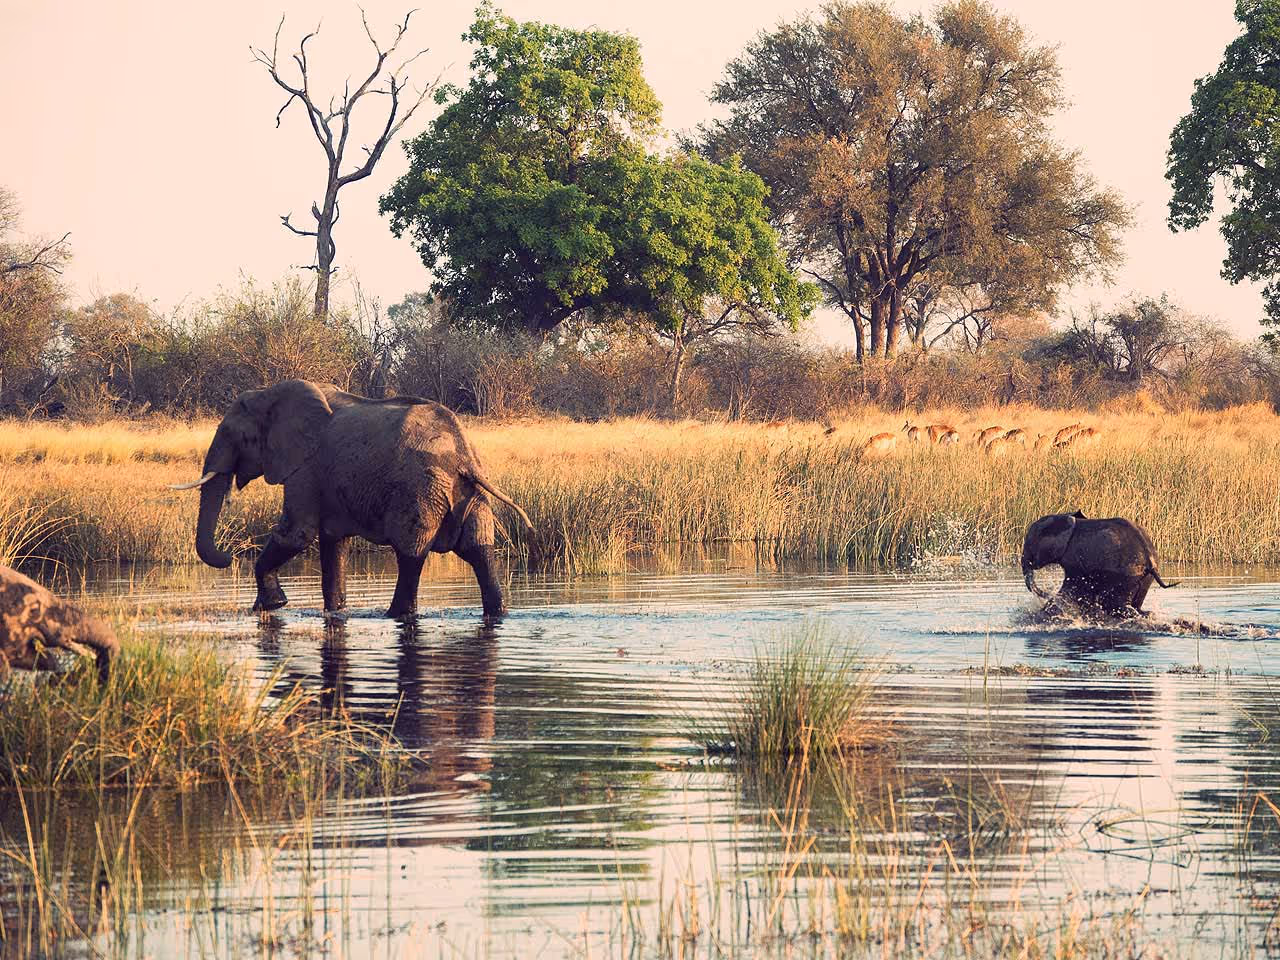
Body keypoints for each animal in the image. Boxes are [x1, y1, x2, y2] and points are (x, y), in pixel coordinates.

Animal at [172, 379, 532, 618]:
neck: (270, 393)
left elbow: (296, 534)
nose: (229, 557)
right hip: (470, 494)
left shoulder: (305, 467)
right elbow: (333, 543)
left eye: (237, 436)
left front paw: (271, 606)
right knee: (479, 550)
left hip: (418, 491)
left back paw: (394, 615)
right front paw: (333, 612)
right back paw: (498, 613)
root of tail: (463, 456)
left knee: (411, 553)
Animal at [1021, 511, 1176, 616]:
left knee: (1116, 604)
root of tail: (1150, 561)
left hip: (1126, 574)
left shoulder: (1075, 559)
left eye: (1030, 545)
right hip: (1143, 578)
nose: (1047, 593)